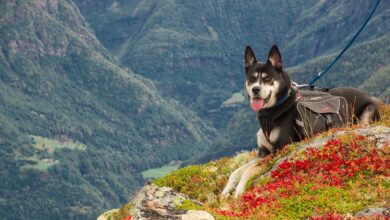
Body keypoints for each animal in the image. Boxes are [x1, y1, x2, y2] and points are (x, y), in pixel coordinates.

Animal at [222, 44, 380, 198]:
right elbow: (236, 171)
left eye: (267, 78)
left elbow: (248, 170)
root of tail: (370, 97)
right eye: (252, 79)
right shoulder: (263, 153)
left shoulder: (280, 149)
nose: (255, 89)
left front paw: (239, 189)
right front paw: (226, 190)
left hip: (367, 113)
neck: (274, 110)